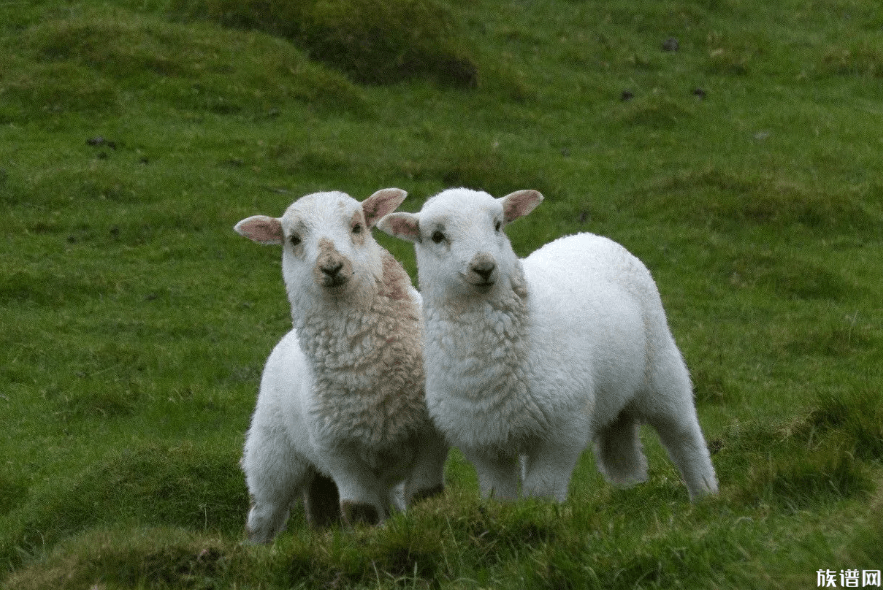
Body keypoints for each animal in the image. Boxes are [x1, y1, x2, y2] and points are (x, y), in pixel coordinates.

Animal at [237, 187, 448, 544]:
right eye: (293, 239)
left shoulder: (431, 436)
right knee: (264, 515)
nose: (332, 267)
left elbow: (424, 496)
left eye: (357, 226)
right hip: (273, 454)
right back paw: (257, 548)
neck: (366, 369)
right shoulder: (339, 451)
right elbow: (360, 511)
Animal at [378, 188, 720, 504]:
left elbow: (542, 493)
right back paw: (631, 486)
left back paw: (705, 493)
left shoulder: (563, 430)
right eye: (437, 236)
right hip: (613, 390)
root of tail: (587, 236)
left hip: (660, 366)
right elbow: (500, 497)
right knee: (621, 442)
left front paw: (544, 517)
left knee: (683, 434)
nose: (484, 267)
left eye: (498, 225)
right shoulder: (482, 443)